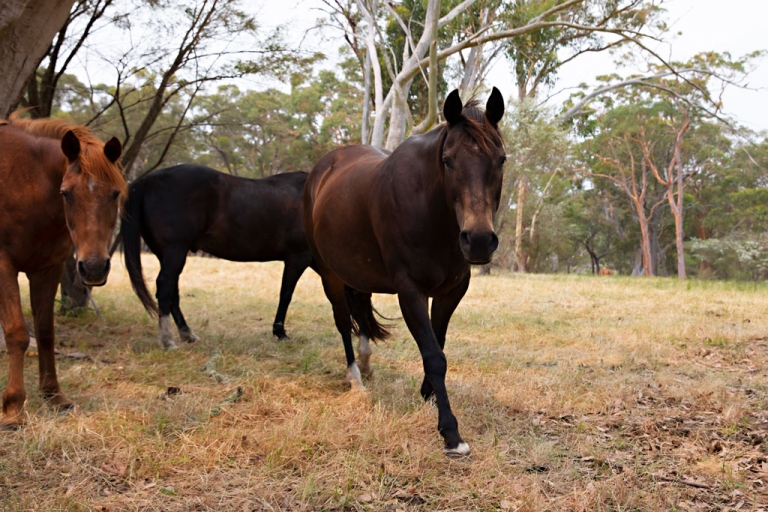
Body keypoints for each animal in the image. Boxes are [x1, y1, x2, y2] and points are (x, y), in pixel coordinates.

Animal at [0, 112, 126, 428]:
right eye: (66, 194)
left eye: (114, 194)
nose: (93, 267)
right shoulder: (3, 265)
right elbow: (18, 333)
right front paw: (13, 407)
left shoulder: (49, 269)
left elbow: (45, 331)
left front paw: (54, 395)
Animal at [120, 164, 314, 349]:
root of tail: (147, 180)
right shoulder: (298, 257)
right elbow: (286, 294)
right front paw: (279, 332)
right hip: (174, 252)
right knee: (165, 287)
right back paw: (168, 340)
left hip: (169, 255)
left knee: (172, 291)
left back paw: (187, 333)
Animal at [304, 88, 505, 457]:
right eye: (447, 161)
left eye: (501, 159)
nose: (479, 241)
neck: (431, 212)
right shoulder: (410, 291)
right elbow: (434, 355)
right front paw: (450, 432)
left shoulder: (451, 292)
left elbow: (438, 344)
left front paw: (429, 394)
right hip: (330, 275)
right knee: (342, 323)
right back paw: (355, 379)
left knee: (361, 313)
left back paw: (366, 364)